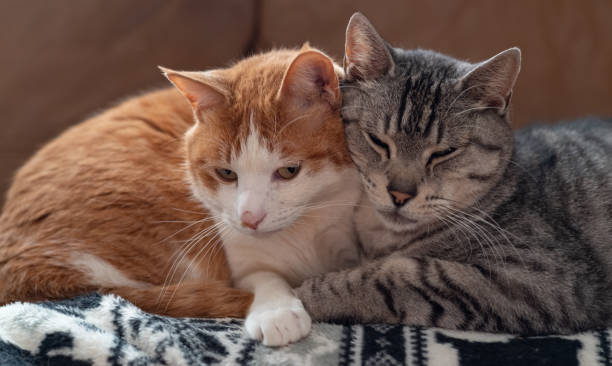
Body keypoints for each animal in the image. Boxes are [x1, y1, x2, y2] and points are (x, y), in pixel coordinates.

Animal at [0, 46, 358, 346]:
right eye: (226, 173)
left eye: (289, 171)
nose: (249, 218)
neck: (308, 226)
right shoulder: (238, 262)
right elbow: (263, 277)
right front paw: (277, 311)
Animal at [296, 13, 612, 334]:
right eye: (378, 141)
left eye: (443, 152)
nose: (400, 194)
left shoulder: (539, 279)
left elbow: (394, 276)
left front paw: (306, 295)